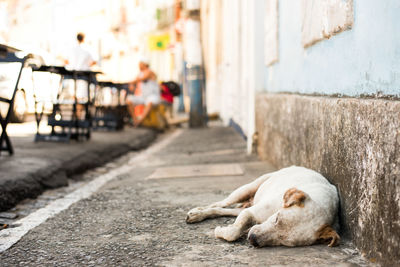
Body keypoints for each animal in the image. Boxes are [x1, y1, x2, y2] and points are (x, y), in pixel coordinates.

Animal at [186, 166, 340, 248]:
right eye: (277, 219)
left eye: (284, 241)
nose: (253, 239)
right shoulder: (251, 213)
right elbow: (233, 232)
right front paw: (220, 231)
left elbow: (236, 228)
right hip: (248, 188)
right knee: (219, 204)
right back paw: (197, 212)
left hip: (243, 206)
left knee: (223, 210)